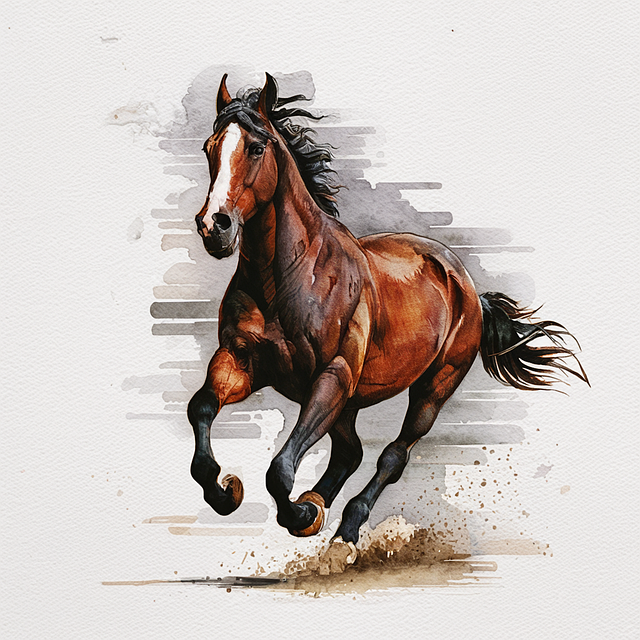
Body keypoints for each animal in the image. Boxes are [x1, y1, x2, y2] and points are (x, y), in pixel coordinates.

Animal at [187, 73, 588, 550]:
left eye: (255, 147)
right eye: (210, 147)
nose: (214, 226)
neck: (288, 278)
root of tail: (468, 287)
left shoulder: (332, 377)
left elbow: (280, 469)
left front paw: (300, 513)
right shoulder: (241, 361)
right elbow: (201, 410)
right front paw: (226, 492)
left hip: (433, 388)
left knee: (391, 457)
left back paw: (344, 528)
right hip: (351, 402)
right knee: (350, 452)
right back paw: (321, 507)